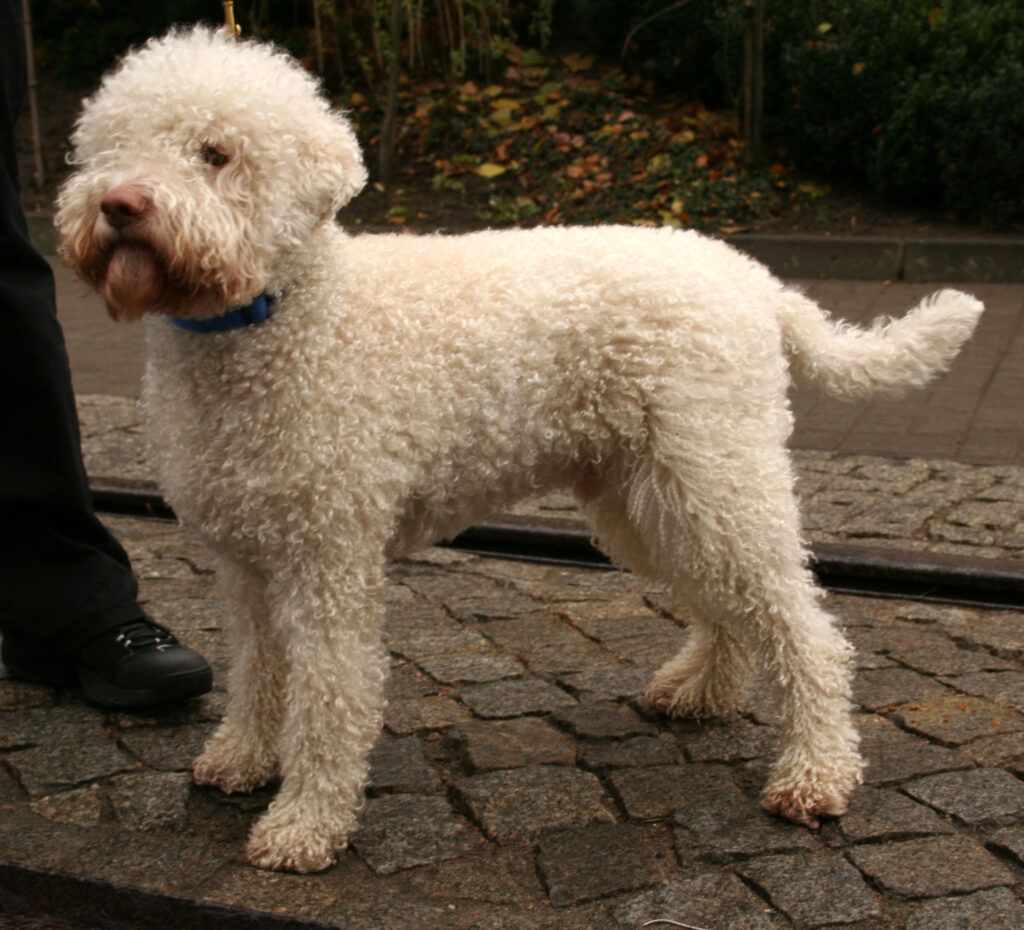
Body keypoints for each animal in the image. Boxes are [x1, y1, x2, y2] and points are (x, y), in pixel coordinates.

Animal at [58, 27, 983, 872]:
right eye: (112, 147)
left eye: (215, 153)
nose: (121, 204)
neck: (280, 317)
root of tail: (756, 280)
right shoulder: (246, 557)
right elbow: (258, 671)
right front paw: (243, 760)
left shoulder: (327, 559)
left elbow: (328, 694)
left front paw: (304, 826)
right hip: (647, 494)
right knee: (729, 606)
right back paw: (701, 692)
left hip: (713, 476)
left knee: (806, 628)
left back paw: (815, 774)